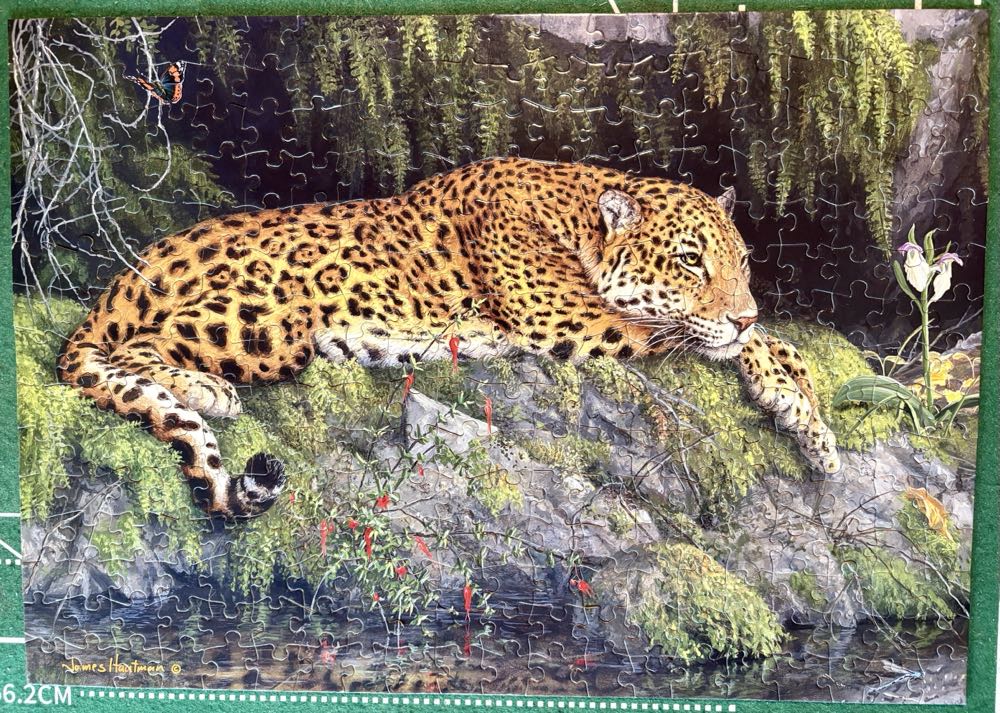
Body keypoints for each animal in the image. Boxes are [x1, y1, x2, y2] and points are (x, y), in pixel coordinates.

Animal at [58, 157, 841, 520]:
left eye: (743, 262)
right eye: (689, 261)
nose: (743, 309)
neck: (576, 210)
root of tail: (122, 280)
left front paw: (810, 420)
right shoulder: (571, 319)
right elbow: (704, 334)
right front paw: (785, 386)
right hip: (272, 315)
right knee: (141, 346)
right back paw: (205, 387)